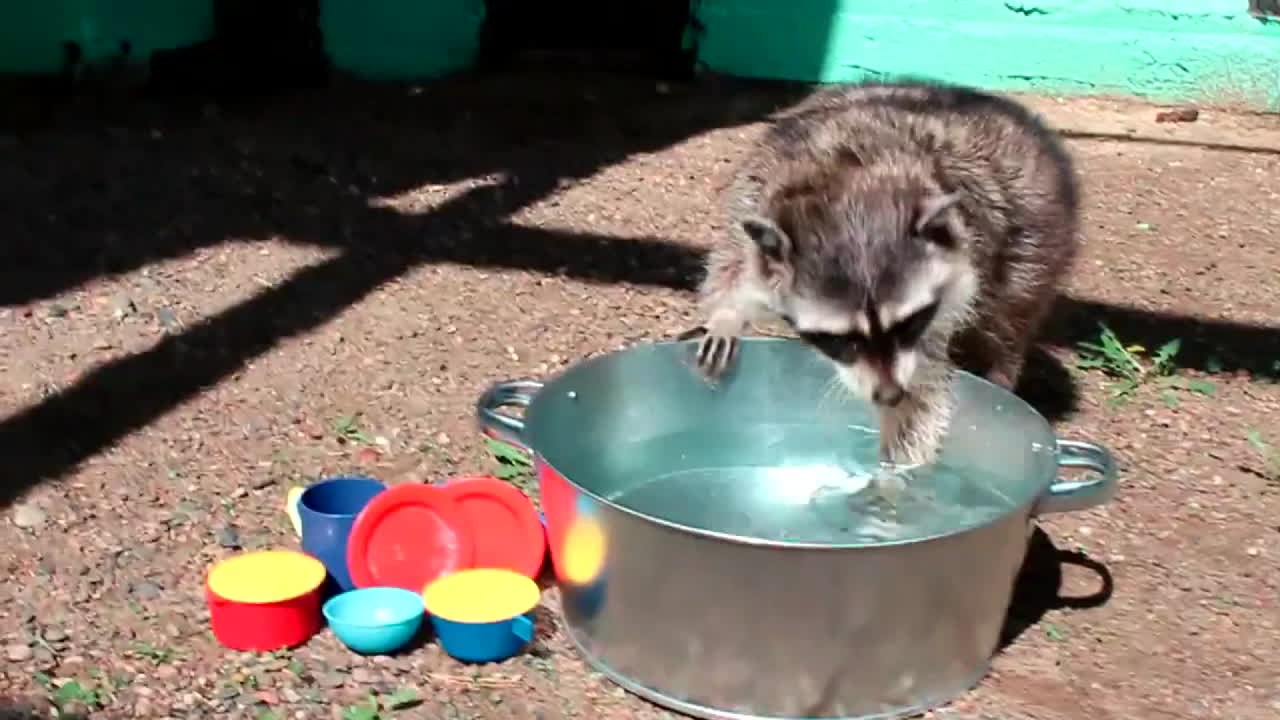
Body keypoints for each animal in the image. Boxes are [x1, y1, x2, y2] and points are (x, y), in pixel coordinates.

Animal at [692, 79, 1081, 467]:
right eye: (842, 339)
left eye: (907, 324)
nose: (890, 395)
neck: (843, 183)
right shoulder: (756, 193)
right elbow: (732, 263)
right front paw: (726, 314)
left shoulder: (944, 300)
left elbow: (924, 390)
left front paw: (896, 471)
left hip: (1036, 231)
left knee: (1009, 317)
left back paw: (1001, 371)